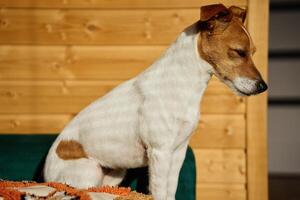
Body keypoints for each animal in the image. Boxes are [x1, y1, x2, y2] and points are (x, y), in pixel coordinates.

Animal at [44, 3, 268, 200]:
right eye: (239, 52)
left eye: (254, 52)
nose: (263, 87)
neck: (182, 85)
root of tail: (45, 176)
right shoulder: (160, 152)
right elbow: (159, 192)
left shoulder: (178, 152)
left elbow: (171, 191)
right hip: (88, 170)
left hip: (115, 173)